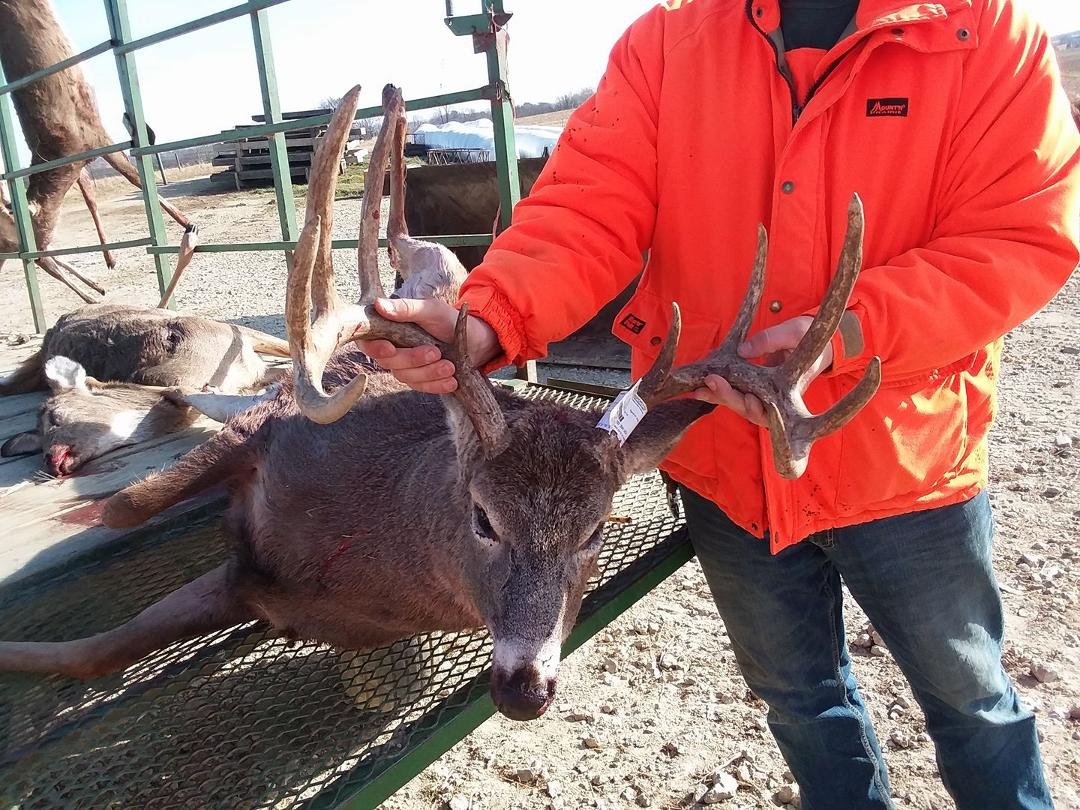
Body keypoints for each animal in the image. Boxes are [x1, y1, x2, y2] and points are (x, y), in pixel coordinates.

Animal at [0, 0, 196, 301]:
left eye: (27, 232)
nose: (38, 257)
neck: (54, 154)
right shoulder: (82, 160)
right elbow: (92, 195)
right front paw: (109, 261)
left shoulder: (93, 135)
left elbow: (132, 176)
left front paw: (186, 222)